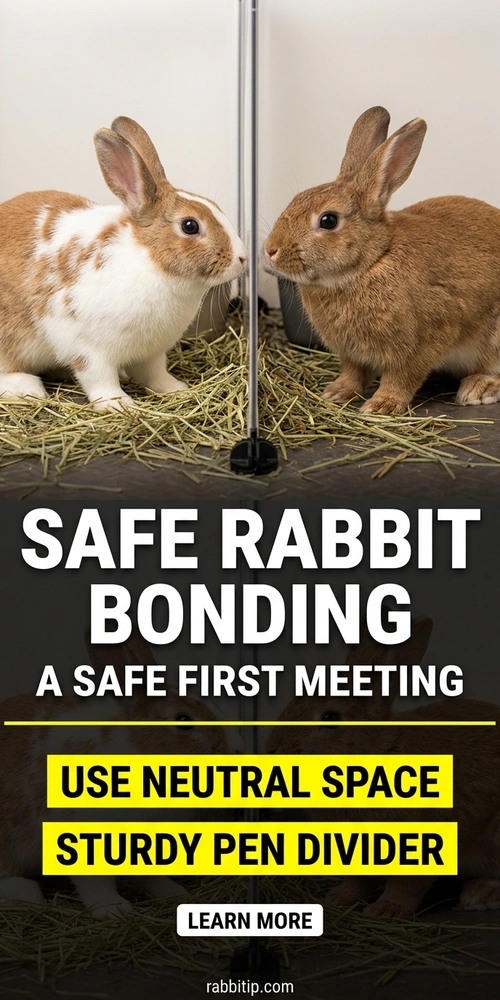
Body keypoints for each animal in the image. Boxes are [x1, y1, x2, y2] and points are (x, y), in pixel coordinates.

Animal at [0, 116, 247, 411]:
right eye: (190, 226)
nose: (242, 257)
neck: (151, 261)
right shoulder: (88, 349)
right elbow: (99, 379)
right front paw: (118, 405)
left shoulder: (153, 352)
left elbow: (155, 373)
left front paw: (175, 389)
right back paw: (29, 387)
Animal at [0, 631, 239, 918]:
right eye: (183, 720)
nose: (235, 750)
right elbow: (96, 883)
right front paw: (114, 910)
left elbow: (150, 877)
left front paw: (175, 893)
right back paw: (28, 893)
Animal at [265, 105, 500, 414]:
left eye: (328, 220)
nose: (270, 249)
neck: (372, 261)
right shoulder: (352, 354)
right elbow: (353, 373)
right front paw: (336, 392)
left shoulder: (420, 345)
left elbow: (401, 378)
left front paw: (381, 406)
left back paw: (478, 389)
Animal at [266, 617, 500, 920]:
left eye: (330, 717)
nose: (272, 749)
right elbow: (357, 881)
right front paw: (337, 899)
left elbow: (405, 886)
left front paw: (385, 911)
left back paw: (476, 895)